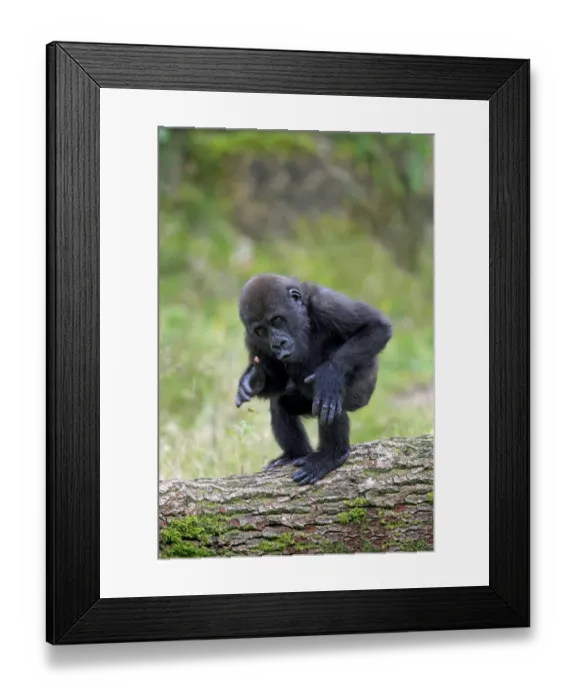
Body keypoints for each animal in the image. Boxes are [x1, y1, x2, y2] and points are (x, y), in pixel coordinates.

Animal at [235, 273, 393, 485]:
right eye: (261, 330)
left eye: (277, 320)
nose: (277, 343)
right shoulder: (251, 339)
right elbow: (276, 382)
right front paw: (253, 379)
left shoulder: (326, 304)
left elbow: (376, 327)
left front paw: (330, 375)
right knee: (281, 403)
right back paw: (294, 455)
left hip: (360, 394)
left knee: (332, 399)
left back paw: (331, 455)